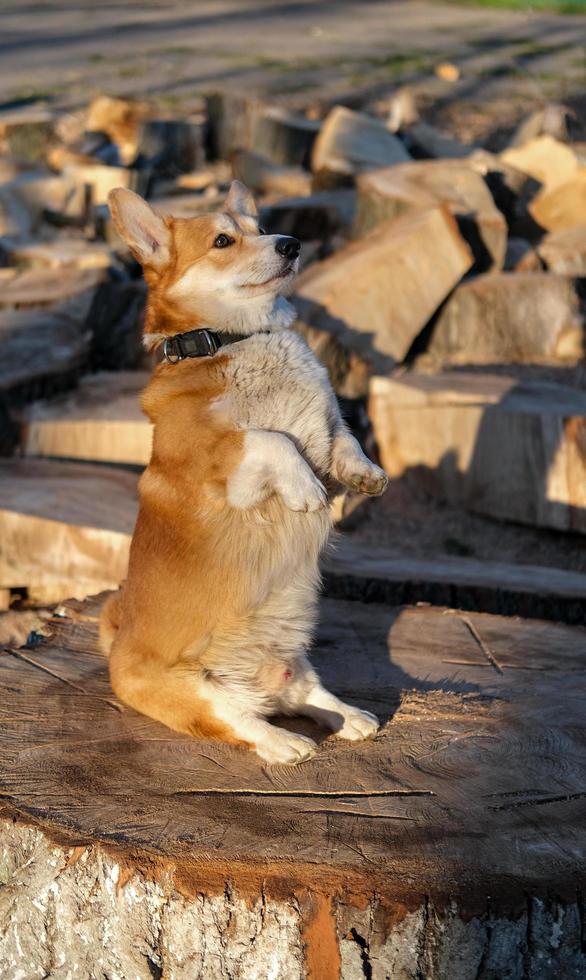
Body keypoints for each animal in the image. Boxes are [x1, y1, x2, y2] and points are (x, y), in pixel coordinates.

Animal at [98, 182, 386, 764]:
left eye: (262, 228)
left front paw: (366, 473)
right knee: (245, 723)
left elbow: (345, 437)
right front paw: (304, 490)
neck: (231, 337)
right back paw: (287, 744)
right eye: (223, 240)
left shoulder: (327, 432)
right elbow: (271, 439)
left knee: (308, 694)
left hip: (296, 659)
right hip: (200, 692)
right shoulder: (221, 465)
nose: (291, 244)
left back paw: (350, 716)